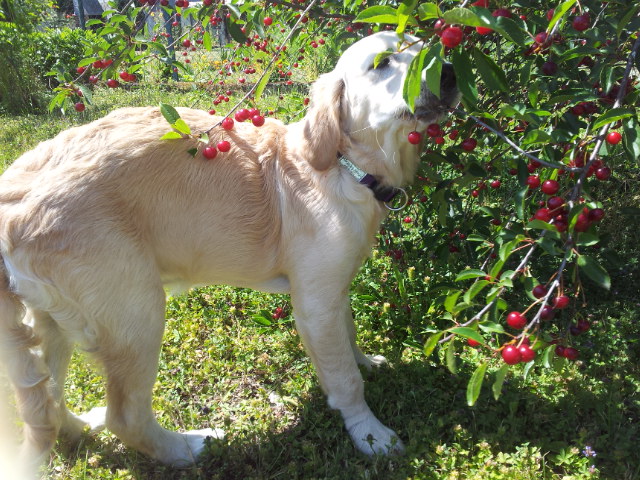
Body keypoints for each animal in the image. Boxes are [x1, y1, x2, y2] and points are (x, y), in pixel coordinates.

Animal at [0, 31, 460, 476]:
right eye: (382, 63)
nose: (450, 74)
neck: (344, 167)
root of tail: (14, 196)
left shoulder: (333, 288)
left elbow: (348, 335)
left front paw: (366, 361)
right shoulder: (314, 302)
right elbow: (344, 378)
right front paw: (369, 434)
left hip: (54, 317)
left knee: (49, 399)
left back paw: (79, 428)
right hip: (135, 309)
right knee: (125, 416)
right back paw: (186, 447)